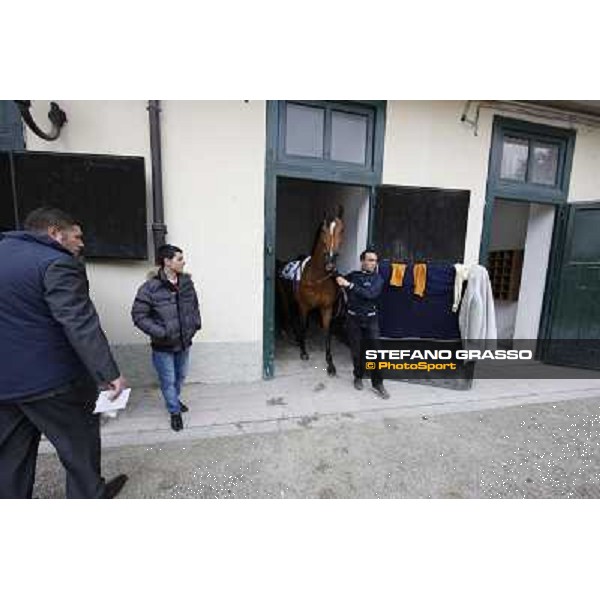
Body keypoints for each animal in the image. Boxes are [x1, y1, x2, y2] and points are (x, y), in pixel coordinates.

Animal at [294, 206, 342, 376]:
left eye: (342, 229)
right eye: (323, 230)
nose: (330, 260)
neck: (317, 277)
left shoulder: (327, 308)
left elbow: (327, 333)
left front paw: (330, 363)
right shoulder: (304, 306)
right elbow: (303, 325)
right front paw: (303, 352)